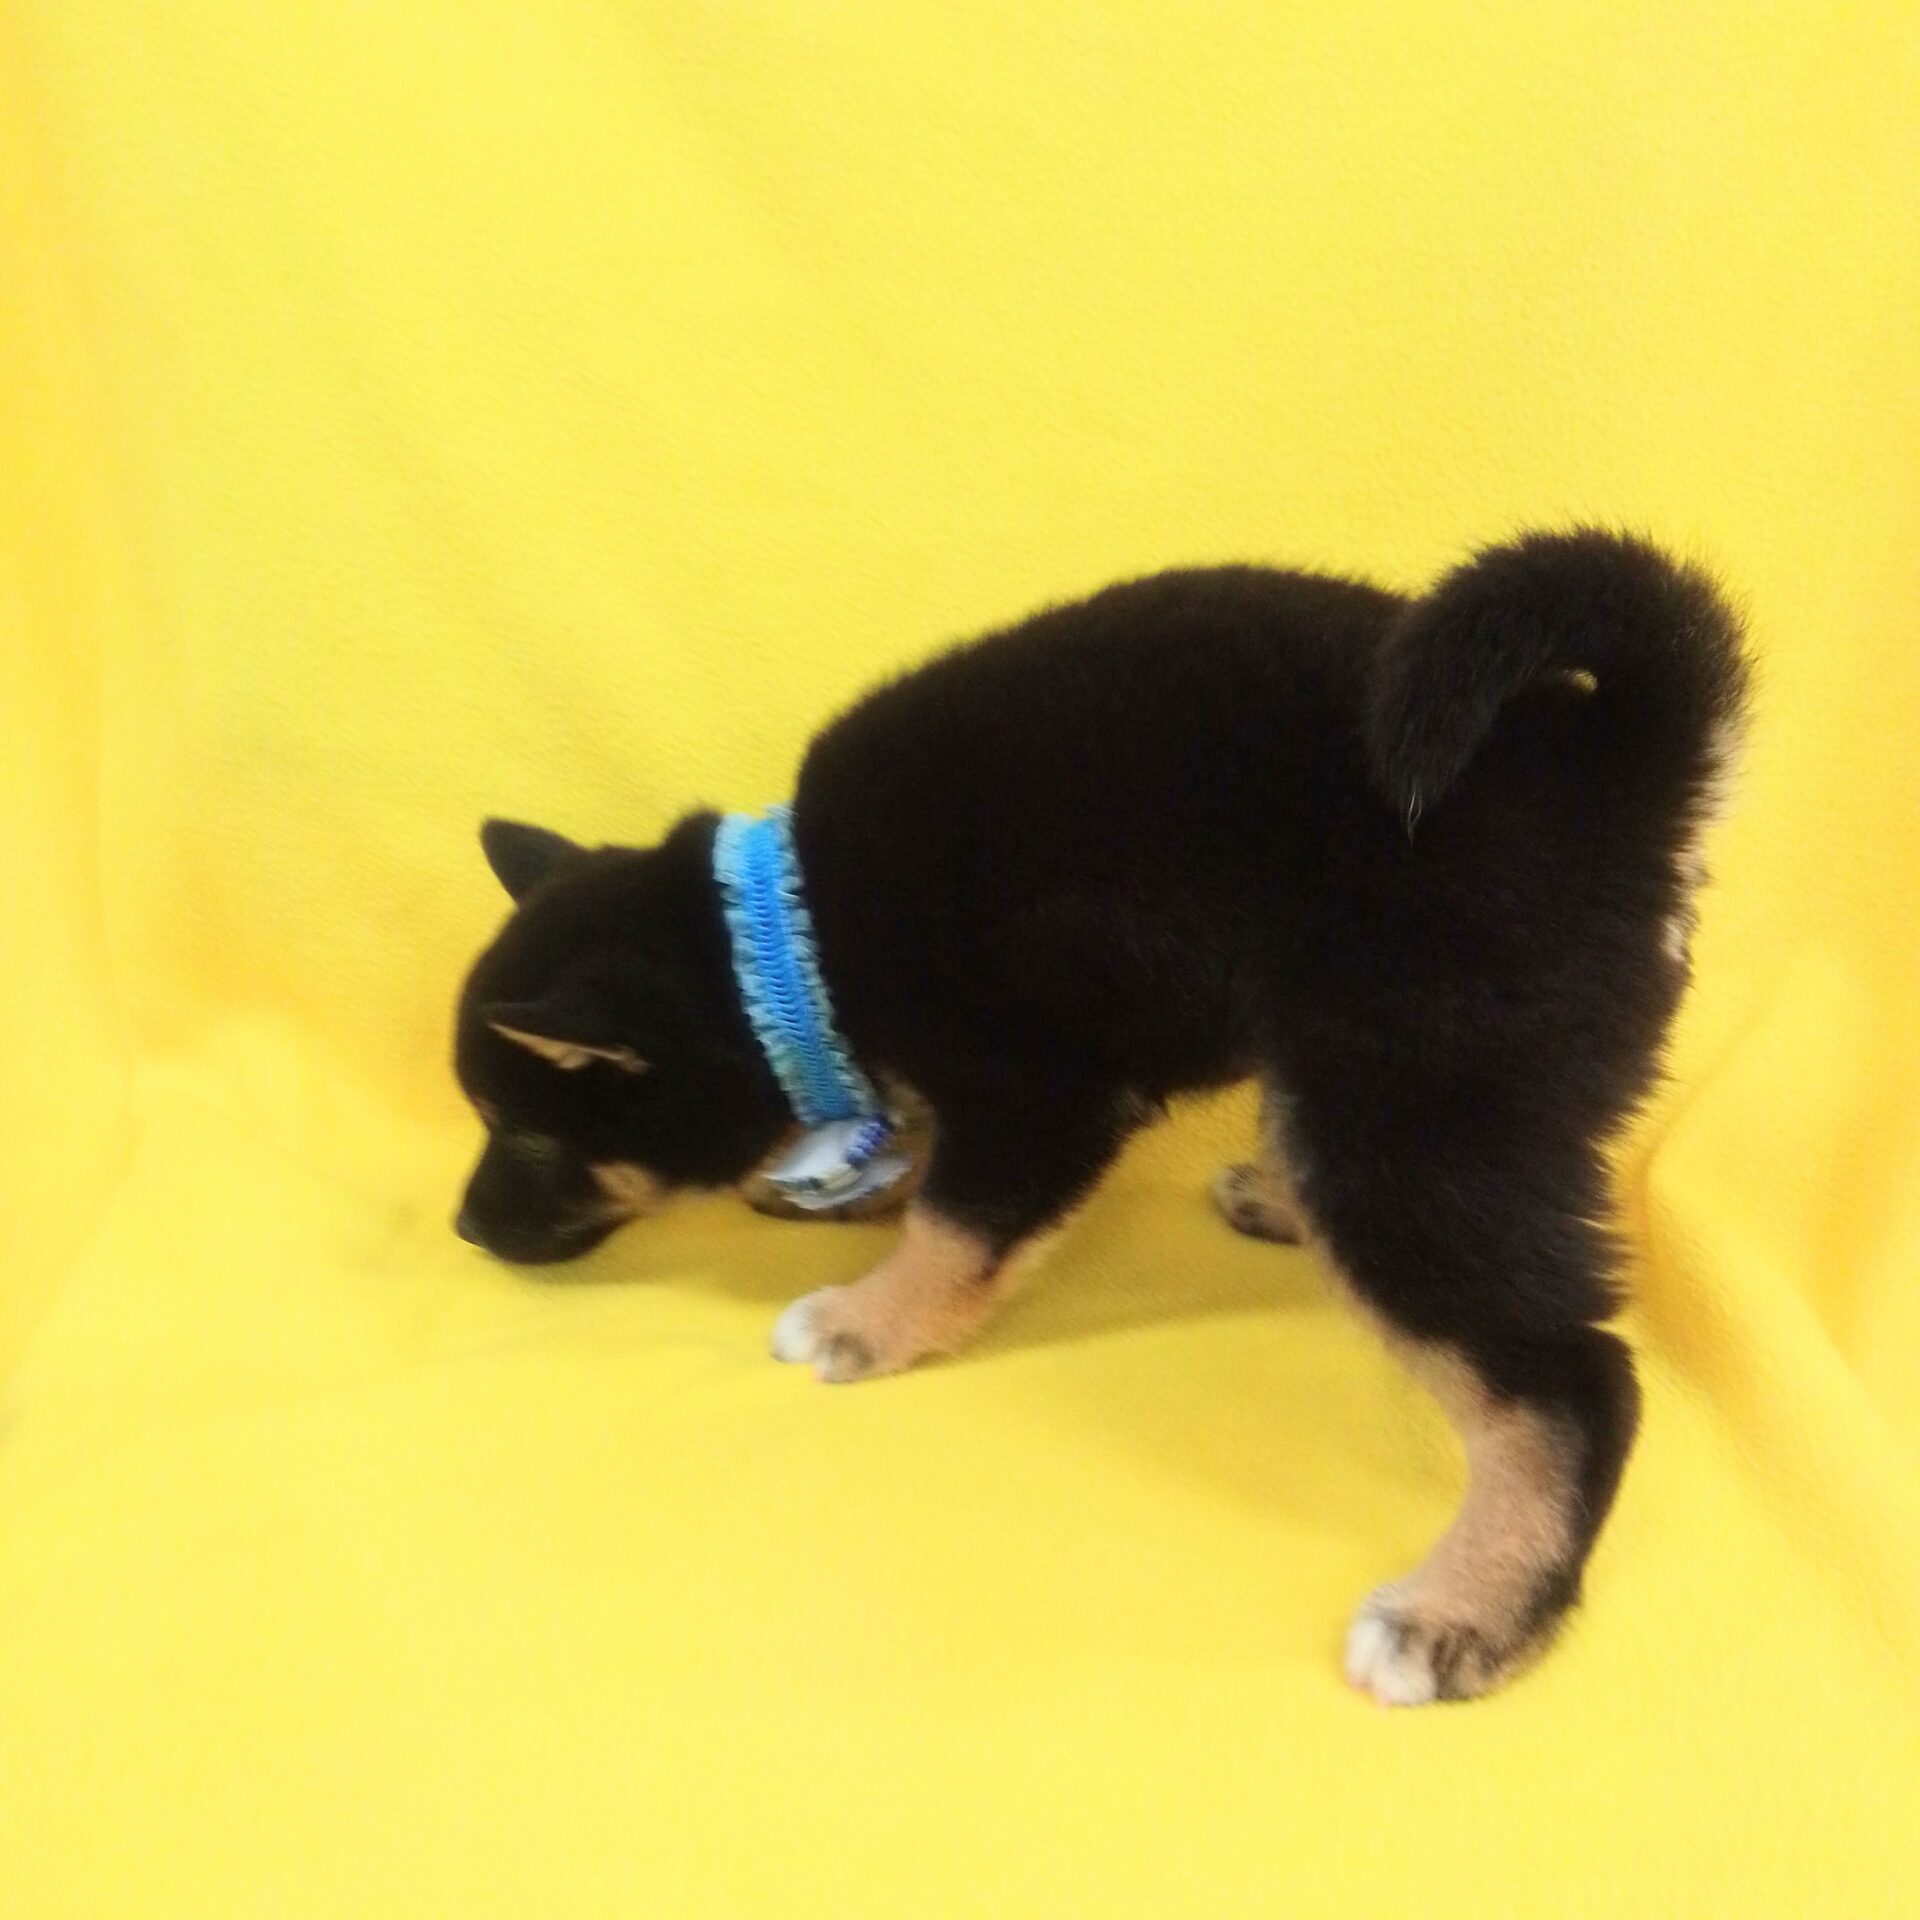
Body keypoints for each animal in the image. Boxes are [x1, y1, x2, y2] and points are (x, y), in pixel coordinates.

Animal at [451, 528, 1750, 1705]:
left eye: (524, 1132)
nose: (464, 1231)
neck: (798, 936)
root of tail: (1628, 777)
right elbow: (923, 1156)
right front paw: (843, 1178)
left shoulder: (1042, 1092)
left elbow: (956, 1228)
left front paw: (868, 1320)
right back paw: (1278, 1196)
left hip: (1414, 1115)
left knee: (1571, 1387)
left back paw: (1465, 1614)